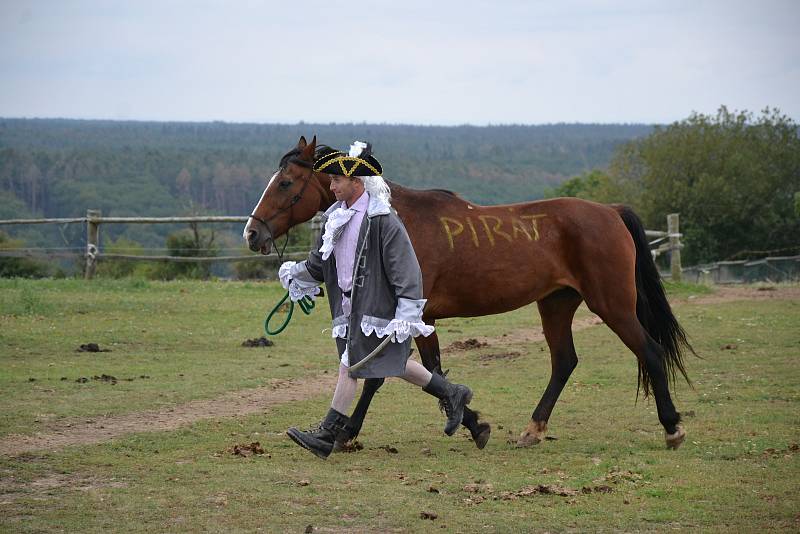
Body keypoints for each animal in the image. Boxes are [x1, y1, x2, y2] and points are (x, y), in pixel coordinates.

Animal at [245, 137, 692, 452]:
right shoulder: (420, 319)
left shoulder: (407, 316)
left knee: (650, 351)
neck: (399, 220)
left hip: (613, 305)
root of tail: (610, 211)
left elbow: (381, 376)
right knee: (565, 361)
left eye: (286, 182)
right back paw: (532, 430)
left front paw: (344, 433)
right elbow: (432, 371)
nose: (252, 233)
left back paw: (672, 428)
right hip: (556, 304)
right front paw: (472, 421)